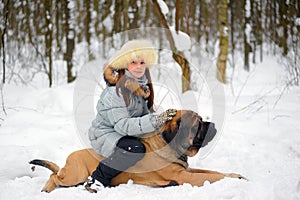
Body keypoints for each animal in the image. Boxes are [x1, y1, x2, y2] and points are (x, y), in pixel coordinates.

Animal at [29, 110, 245, 193]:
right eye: (198, 124)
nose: (213, 124)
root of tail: (69, 158)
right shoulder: (184, 176)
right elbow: (213, 176)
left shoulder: (187, 171)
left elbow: (213, 172)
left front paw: (236, 175)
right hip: (75, 174)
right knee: (55, 176)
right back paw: (47, 188)